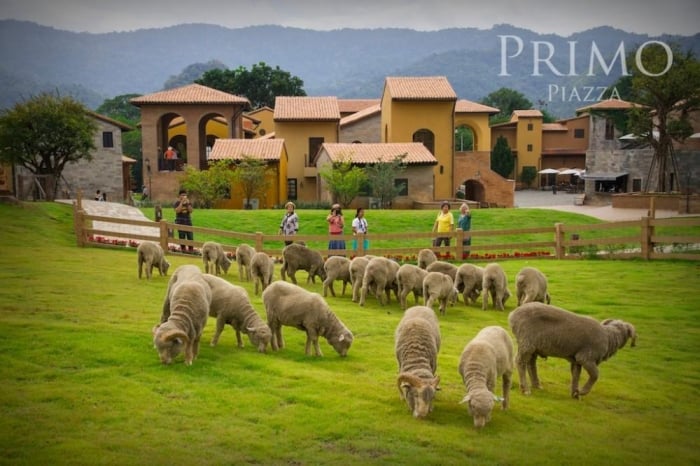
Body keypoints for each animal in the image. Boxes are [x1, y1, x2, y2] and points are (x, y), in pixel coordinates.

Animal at [506, 304, 636, 398]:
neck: (610, 337)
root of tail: (512, 315)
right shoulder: (586, 357)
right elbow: (595, 375)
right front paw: (583, 391)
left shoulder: (576, 359)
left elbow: (576, 375)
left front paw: (575, 393)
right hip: (526, 342)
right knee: (520, 362)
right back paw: (525, 389)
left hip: (533, 346)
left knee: (531, 364)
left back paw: (537, 385)